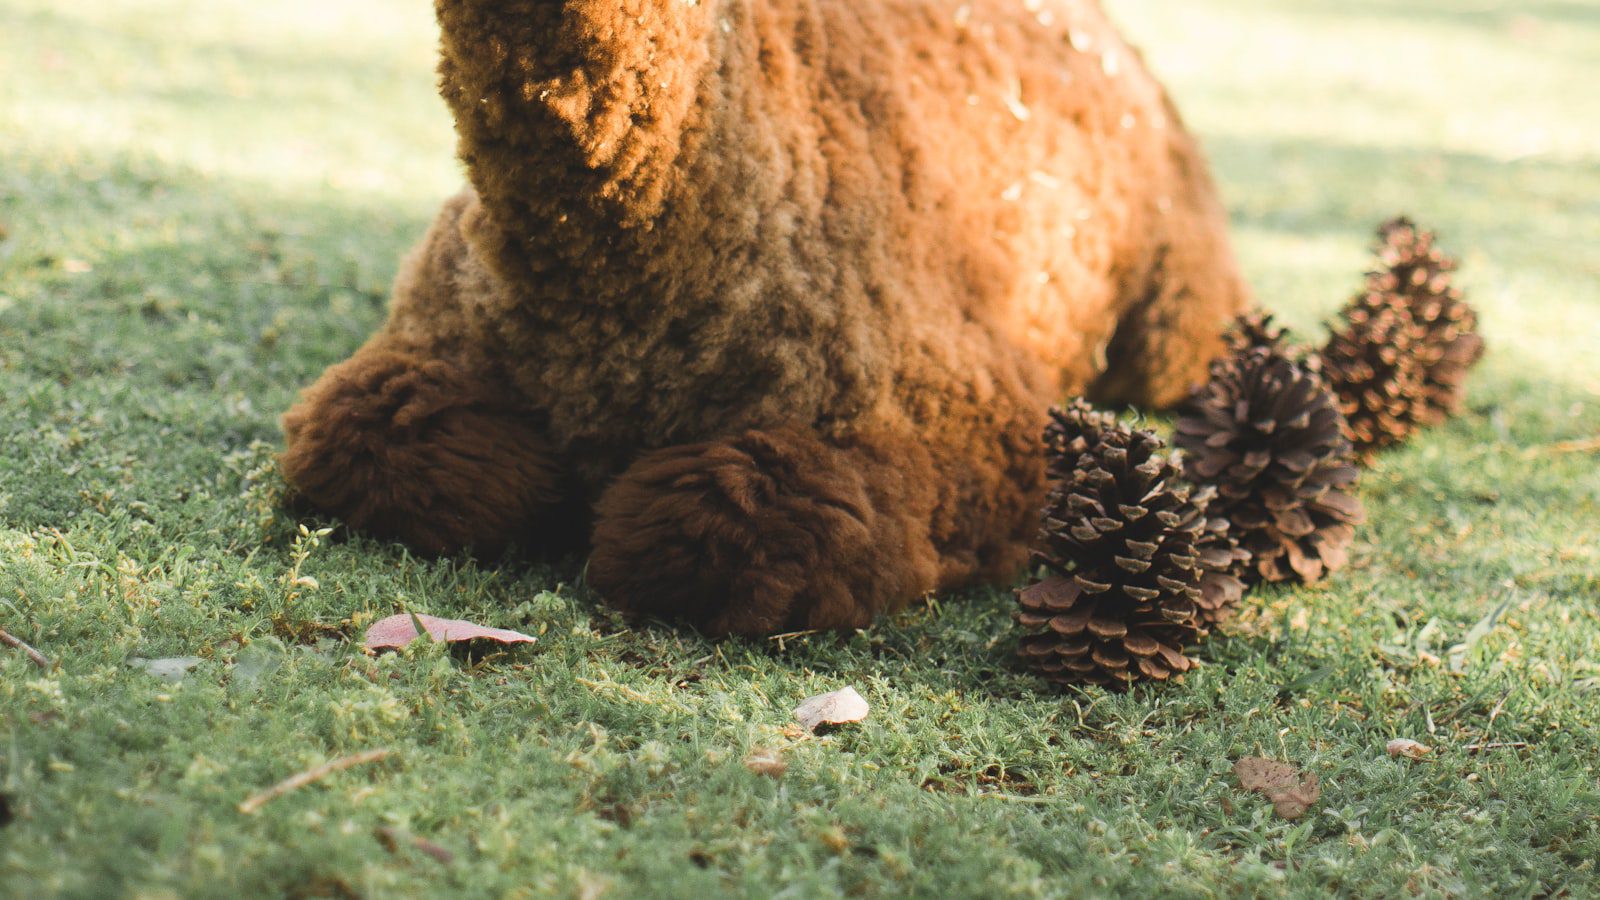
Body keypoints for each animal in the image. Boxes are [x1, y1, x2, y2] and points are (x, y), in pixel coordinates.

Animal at [278, 0, 1248, 634]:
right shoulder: (431, 332)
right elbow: (361, 440)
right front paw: (539, 487)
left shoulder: (972, 413)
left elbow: (722, 529)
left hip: (1176, 298)